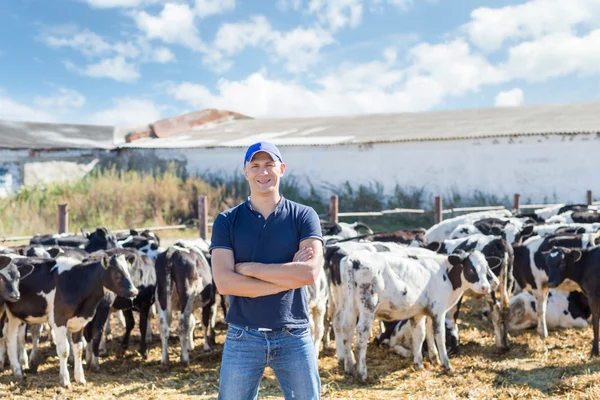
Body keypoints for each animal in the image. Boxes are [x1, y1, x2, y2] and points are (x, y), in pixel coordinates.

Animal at [3, 255, 137, 386]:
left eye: (129, 271)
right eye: (117, 273)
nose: (134, 291)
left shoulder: (79, 322)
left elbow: (78, 350)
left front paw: (80, 378)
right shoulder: (58, 320)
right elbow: (64, 350)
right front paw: (65, 380)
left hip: (14, 316)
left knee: (10, 339)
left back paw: (17, 372)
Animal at [330, 248, 494, 380]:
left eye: (486, 268)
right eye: (471, 269)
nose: (485, 287)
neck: (444, 274)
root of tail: (353, 258)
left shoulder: (421, 313)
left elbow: (422, 335)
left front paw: (424, 362)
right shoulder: (438, 311)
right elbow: (439, 336)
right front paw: (445, 364)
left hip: (346, 304)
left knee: (345, 328)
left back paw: (349, 367)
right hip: (367, 307)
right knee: (361, 337)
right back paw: (362, 373)